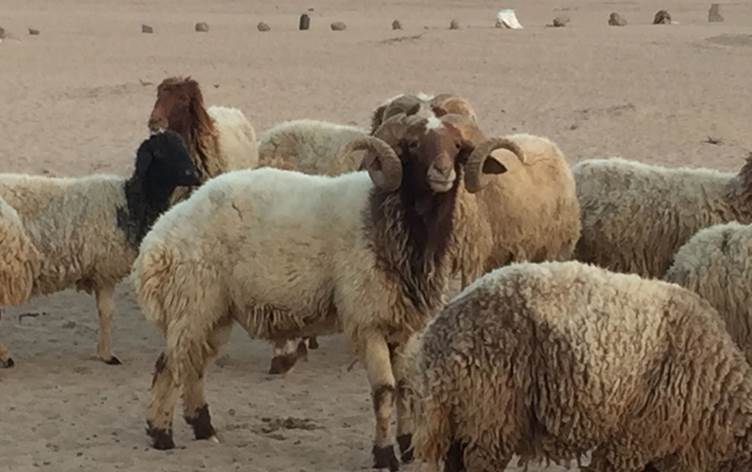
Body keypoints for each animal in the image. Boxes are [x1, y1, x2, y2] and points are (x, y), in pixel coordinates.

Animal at [132, 110, 524, 468]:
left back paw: (203, 428)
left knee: (193, 365)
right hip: (192, 302)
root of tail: (157, 240)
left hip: (214, 311)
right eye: (413, 145)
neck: (384, 219)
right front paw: (384, 454)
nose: (443, 173)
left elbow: (406, 387)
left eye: (457, 146)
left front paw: (408, 446)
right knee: (169, 365)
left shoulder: (404, 324)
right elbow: (384, 392)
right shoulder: (368, 322)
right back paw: (162, 435)